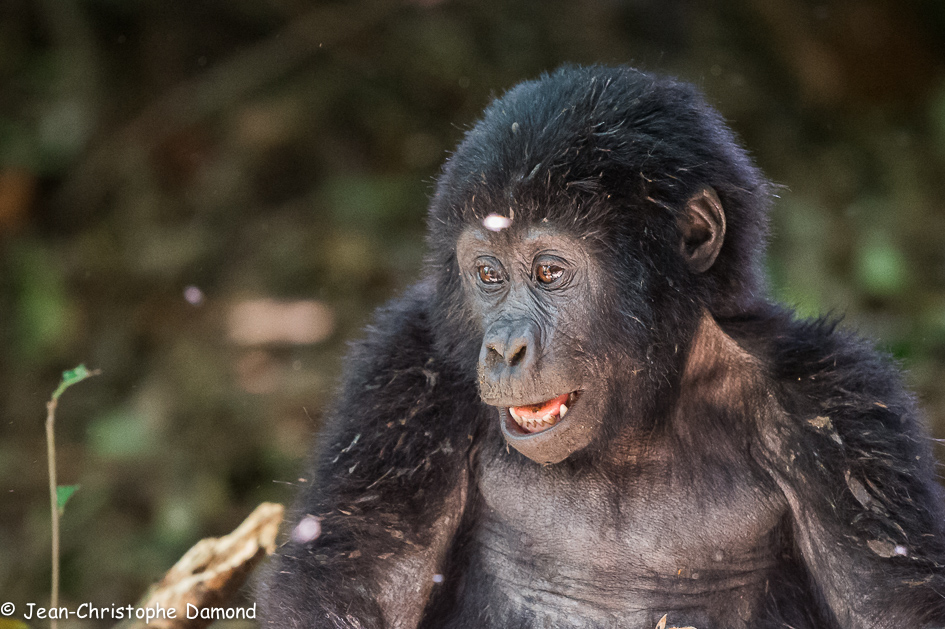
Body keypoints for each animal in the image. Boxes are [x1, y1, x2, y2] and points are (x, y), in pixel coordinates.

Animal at [256, 65, 944, 628]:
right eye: (488, 274)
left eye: (549, 272)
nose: (503, 348)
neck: (642, 410)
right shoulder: (407, 374)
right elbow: (358, 584)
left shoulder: (836, 408)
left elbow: (892, 603)